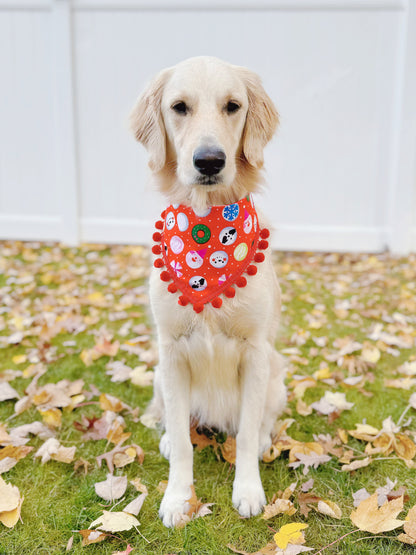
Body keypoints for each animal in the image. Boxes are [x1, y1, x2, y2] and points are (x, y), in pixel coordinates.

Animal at [130, 57, 286, 528]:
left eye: (233, 106)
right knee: (174, 422)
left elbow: (248, 434)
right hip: (159, 374)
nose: (210, 161)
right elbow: (184, 442)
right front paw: (178, 498)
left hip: (277, 376)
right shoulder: (172, 351)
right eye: (179, 107)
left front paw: (249, 490)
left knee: (261, 425)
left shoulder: (255, 353)